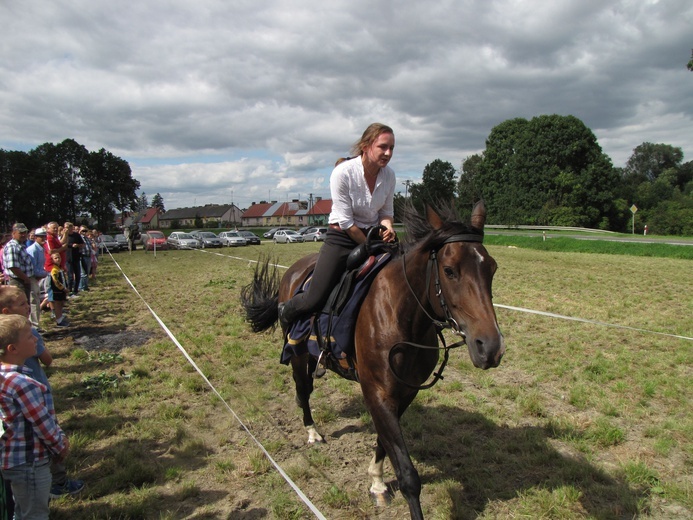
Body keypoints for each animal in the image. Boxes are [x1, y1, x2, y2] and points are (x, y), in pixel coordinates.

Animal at [242, 201, 502, 516]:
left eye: (492, 268)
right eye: (450, 270)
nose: (490, 347)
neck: (400, 314)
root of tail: (293, 271)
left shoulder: (405, 392)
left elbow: (384, 442)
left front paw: (377, 482)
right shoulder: (377, 392)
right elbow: (408, 475)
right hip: (298, 354)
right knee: (302, 390)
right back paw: (312, 432)